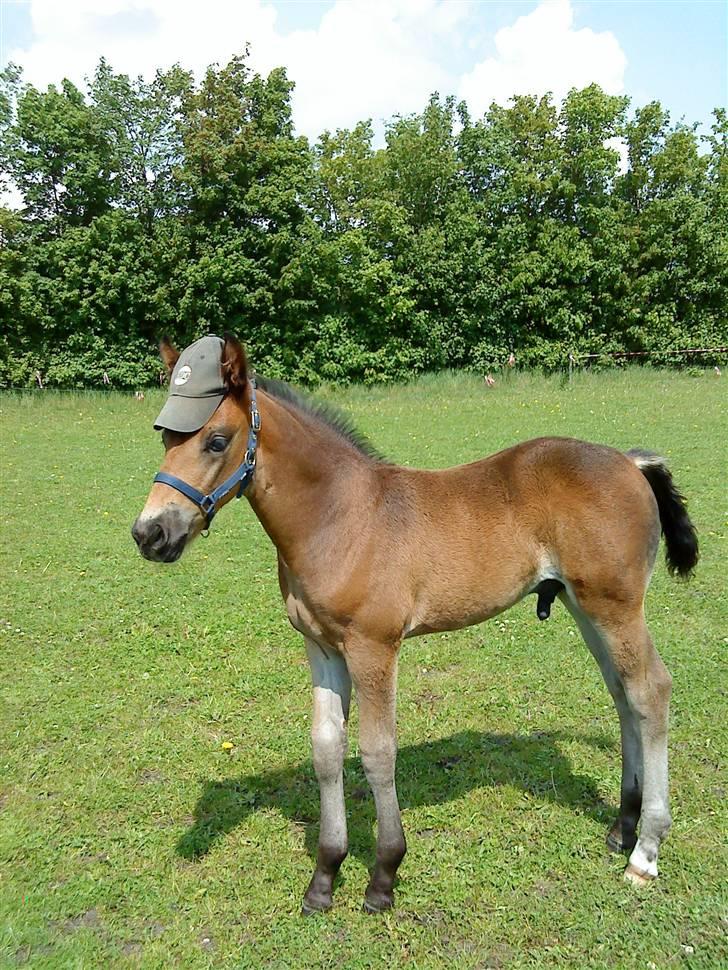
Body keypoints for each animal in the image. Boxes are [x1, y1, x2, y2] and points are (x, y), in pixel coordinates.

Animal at [132, 330, 700, 908]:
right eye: (165, 439)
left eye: (216, 441)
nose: (150, 533)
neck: (340, 517)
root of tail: (630, 462)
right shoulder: (322, 647)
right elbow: (327, 749)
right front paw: (324, 875)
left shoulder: (374, 647)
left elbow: (377, 752)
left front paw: (384, 873)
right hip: (584, 606)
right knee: (623, 695)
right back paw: (621, 827)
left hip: (616, 606)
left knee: (651, 691)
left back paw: (645, 851)